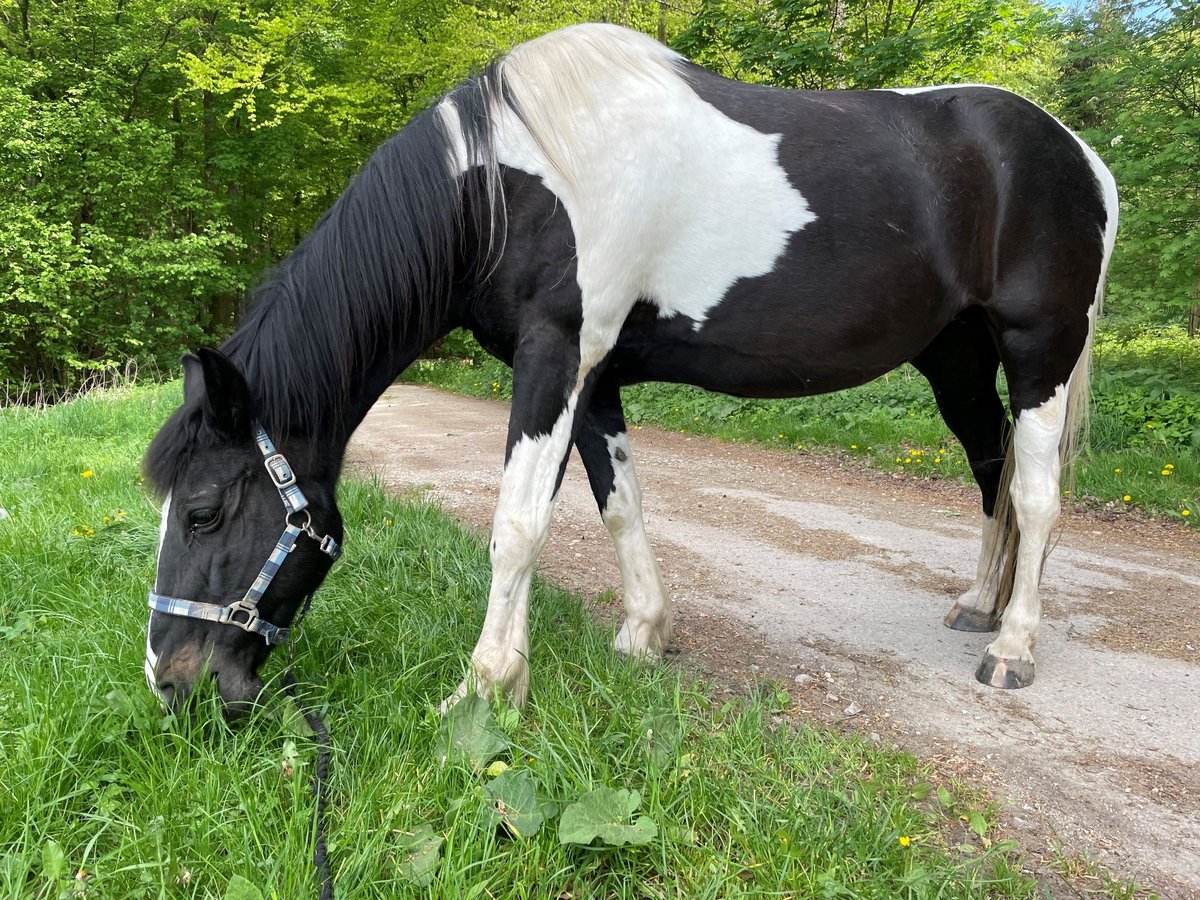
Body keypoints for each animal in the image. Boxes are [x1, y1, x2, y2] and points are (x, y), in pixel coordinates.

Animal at [140, 22, 1113, 720]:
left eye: (202, 512)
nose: (170, 681)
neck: (510, 187)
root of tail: (1081, 156)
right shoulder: (596, 376)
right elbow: (620, 504)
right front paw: (644, 635)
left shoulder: (556, 356)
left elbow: (518, 523)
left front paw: (484, 689)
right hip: (956, 359)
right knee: (992, 471)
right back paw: (979, 604)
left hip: (1040, 352)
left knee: (1035, 496)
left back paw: (1011, 648)